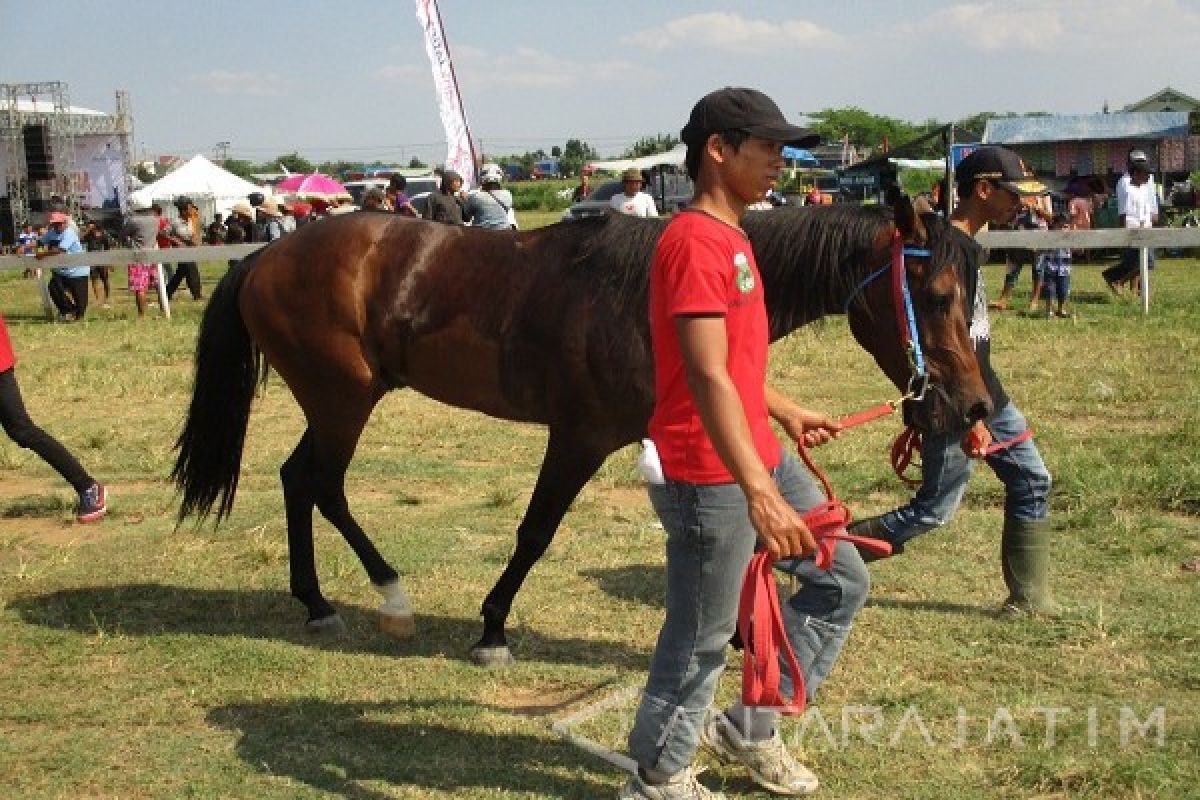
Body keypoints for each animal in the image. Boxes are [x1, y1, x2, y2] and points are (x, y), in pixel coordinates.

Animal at [171, 199, 993, 662]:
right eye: (939, 295)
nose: (971, 409)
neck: (650, 299)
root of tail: (263, 254)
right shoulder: (578, 437)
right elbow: (535, 532)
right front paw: (492, 630)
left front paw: (739, 634)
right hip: (343, 400)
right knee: (322, 485)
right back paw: (386, 596)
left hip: (336, 402)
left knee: (299, 481)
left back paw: (317, 601)